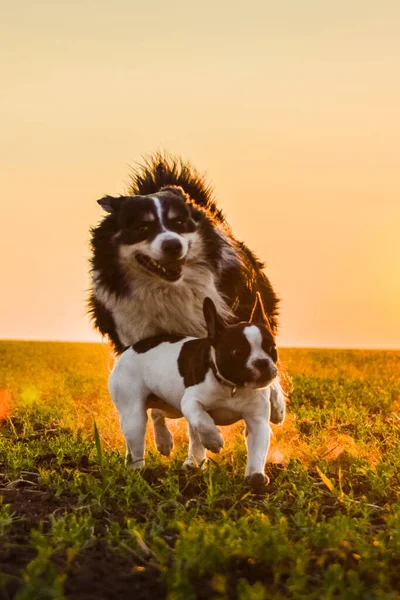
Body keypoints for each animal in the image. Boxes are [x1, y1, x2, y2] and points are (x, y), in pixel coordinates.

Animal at [108, 292, 286, 490]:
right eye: (237, 352)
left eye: (272, 348)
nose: (262, 362)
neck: (232, 386)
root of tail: (131, 347)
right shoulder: (190, 402)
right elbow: (202, 420)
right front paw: (213, 440)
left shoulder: (257, 421)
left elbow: (258, 448)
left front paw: (255, 475)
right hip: (135, 414)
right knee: (137, 443)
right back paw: (138, 470)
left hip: (172, 405)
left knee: (156, 413)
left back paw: (164, 442)